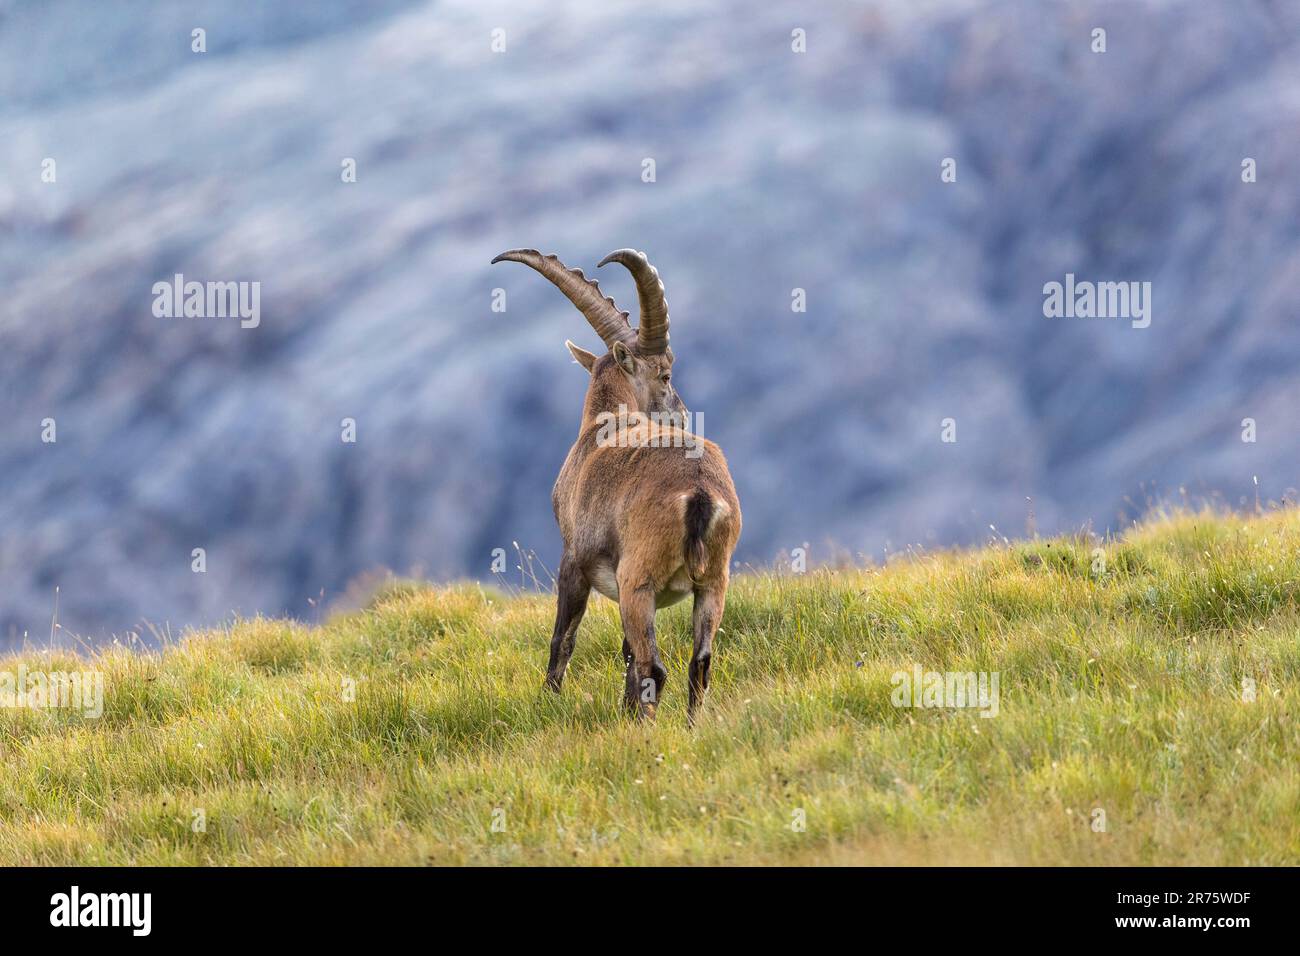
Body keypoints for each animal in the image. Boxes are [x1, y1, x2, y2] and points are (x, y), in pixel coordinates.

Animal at [491, 248, 742, 721]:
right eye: (666, 375)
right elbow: (625, 653)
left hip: (637, 582)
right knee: (698, 661)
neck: (605, 422)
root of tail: (699, 494)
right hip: (712, 581)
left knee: (655, 667)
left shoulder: (573, 560)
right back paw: (689, 726)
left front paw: (549, 699)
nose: (683, 414)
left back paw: (642, 726)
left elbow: (563, 639)